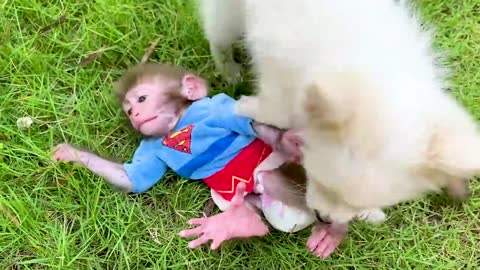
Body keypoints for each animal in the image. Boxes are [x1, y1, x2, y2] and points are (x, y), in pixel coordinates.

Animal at [52, 62, 316, 250]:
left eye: (142, 99)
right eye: (128, 110)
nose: (135, 114)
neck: (178, 124)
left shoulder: (215, 106)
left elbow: (244, 118)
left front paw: (287, 140)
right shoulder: (151, 146)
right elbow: (136, 178)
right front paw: (71, 153)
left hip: (272, 169)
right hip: (232, 195)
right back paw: (239, 222)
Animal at [197, 0, 474, 258]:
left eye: (355, 205)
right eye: (320, 183)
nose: (325, 219)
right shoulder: (279, 71)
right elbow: (277, 109)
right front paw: (244, 108)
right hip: (230, 12)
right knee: (218, 35)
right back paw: (228, 69)